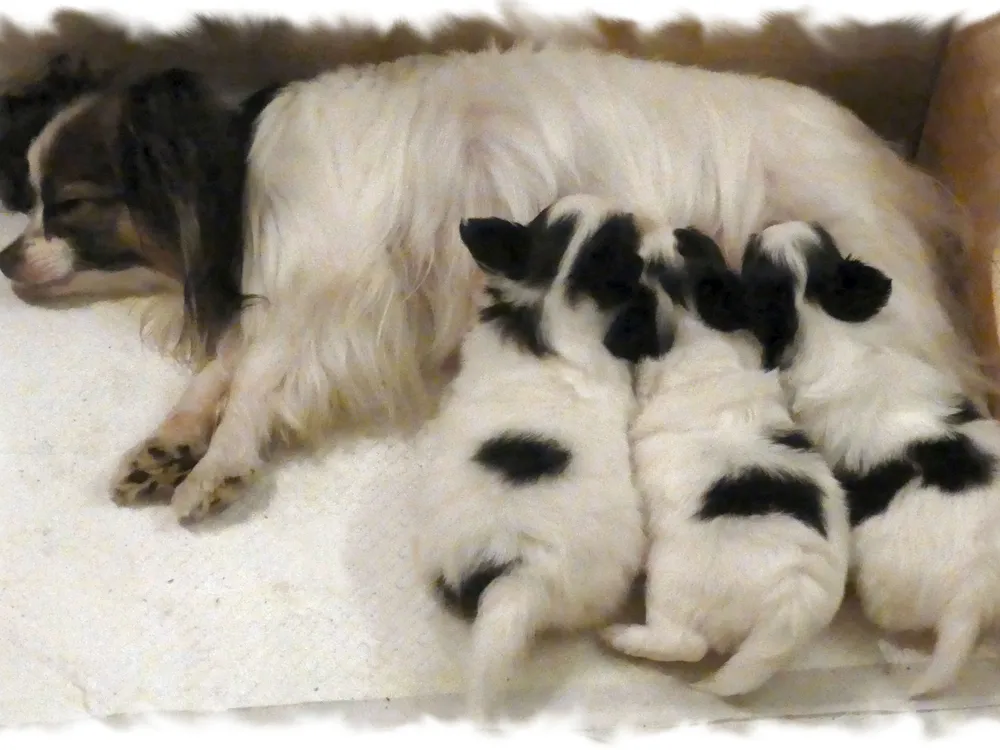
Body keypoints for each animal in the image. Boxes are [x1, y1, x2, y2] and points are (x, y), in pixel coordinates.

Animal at [0, 44, 978, 524]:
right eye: (28, 193)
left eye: (69, 204)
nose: (7, 262)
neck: (235, 171)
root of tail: (893, 170)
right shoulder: (278, 301)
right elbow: (216, 377)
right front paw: (167, 445)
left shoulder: (324, 299)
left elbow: (252, 390)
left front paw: (218, 467)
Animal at [598, 225, 849, 697]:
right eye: (692, 242)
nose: (670, 228)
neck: (699, 332)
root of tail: (789, 604)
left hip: (674, 576)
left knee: (685, 643)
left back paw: (621, 636)